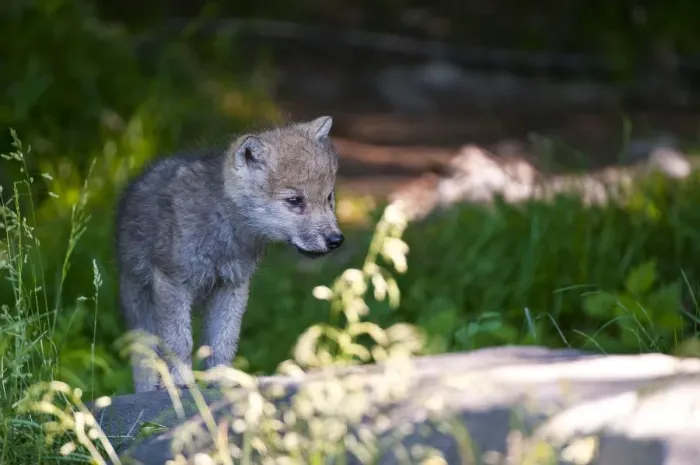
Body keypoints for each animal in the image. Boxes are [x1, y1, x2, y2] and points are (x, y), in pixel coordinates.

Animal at [114, 116, 344, 392]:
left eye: (329, 197)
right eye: (294, 201)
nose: (336, 240)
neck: (223, 230)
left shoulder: (232, 285)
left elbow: (224, 340)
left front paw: (223, 379)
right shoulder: (172, 283)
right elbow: (179, 340)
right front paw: (182, 380)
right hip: (139, 306)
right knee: (145, 362)